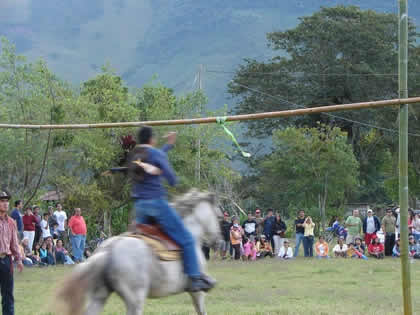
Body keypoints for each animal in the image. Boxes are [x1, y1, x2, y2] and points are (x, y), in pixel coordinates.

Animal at [58, 190, 223, 315]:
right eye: (219, 217)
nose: (220, 242)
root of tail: (108, 251)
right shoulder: (197, 292)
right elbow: (201, 310)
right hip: (135, 299)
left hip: (99, 296)